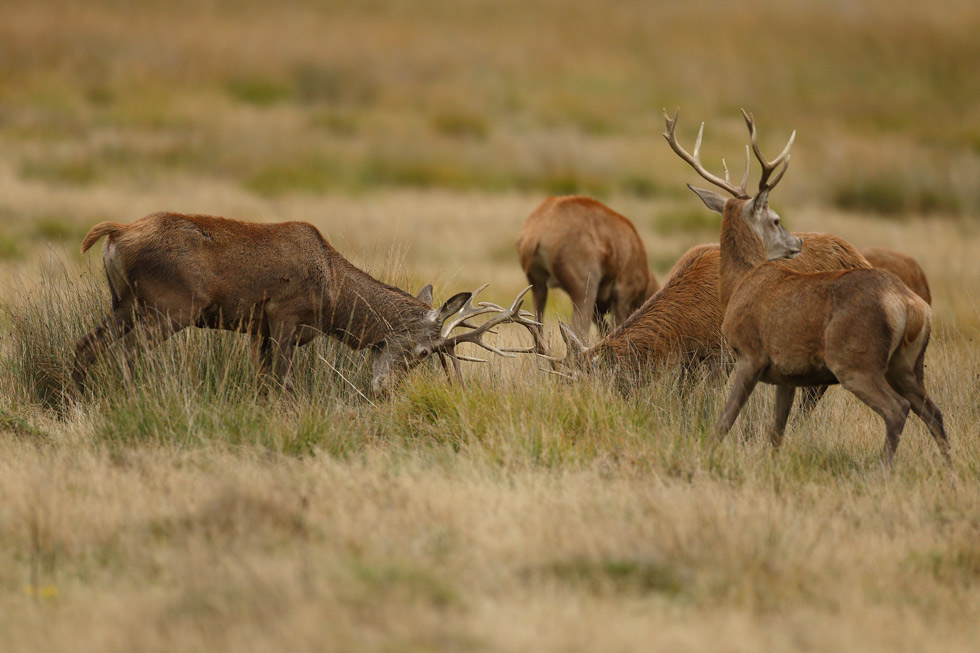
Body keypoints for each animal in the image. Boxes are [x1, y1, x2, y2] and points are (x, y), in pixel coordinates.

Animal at [72, 211, 540, 394]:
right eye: (423, 352)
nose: (384, 391)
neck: (333, 300)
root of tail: (116, 234)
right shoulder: (283, 315)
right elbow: (283, 383)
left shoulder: (261, 330)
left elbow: (262, 382)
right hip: (170, 305)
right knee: (122, 354)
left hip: (123, 303)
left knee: (85, 347)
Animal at [664, 109, 952, 466]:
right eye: (776, 220)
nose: (797, 242)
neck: (738, 284)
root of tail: (913, 306)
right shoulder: (786, 372)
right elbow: (776, 432)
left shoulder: (750, 354)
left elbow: (724, 421)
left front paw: (707, 455)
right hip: (907, 363)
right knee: (932, 411)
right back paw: (949, 469)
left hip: (855, 360)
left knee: (898, 409)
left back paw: (882, 469)